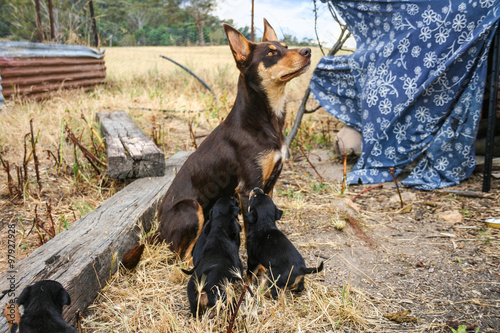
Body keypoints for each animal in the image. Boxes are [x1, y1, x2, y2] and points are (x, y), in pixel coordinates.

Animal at [121, 18, 310, 268]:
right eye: (271, 53)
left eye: (286, 46)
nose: (308, 51)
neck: (263, 119)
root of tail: (158, 230)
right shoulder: (248, 189)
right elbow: (252, 231)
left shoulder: (268, 185)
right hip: (191, 208)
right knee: (180, 256)